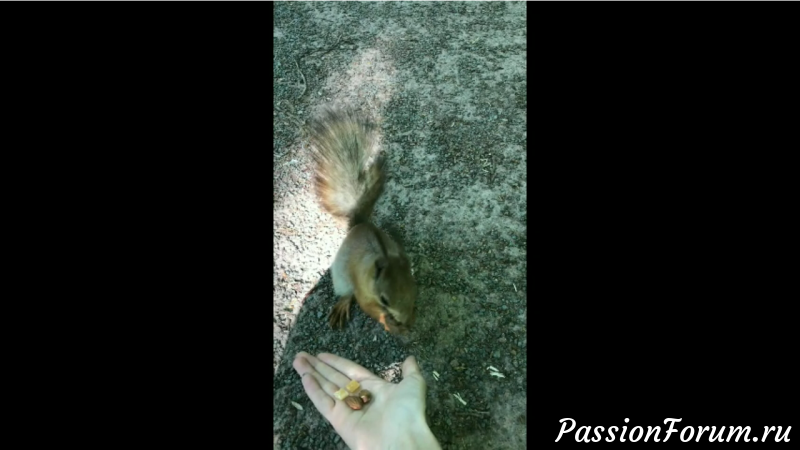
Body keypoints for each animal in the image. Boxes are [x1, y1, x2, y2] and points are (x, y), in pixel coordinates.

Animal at [307, 107, 417, 335]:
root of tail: (359, 224)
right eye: (384, 299)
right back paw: (342, 305)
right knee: (347, 293)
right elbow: (369, 308)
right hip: (341, 278)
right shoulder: (363, 290)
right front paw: (390, 324)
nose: (404, 320)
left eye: (413, 289)